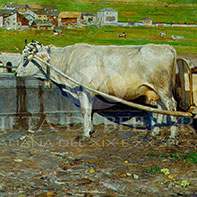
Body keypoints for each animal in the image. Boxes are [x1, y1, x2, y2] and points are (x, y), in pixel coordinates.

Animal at [15, 40, 179, 141]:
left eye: (26, 58)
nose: (15, 72)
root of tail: (165, 47)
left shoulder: (82, 88)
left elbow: (84, 110)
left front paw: (85, 134)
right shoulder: (89, 91)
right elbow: (89, 110)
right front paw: (90, 130)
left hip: (162, 88)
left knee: (171, 106)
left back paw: (172, 137)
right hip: (156, 90)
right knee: (161, 108)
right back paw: (154, 133)